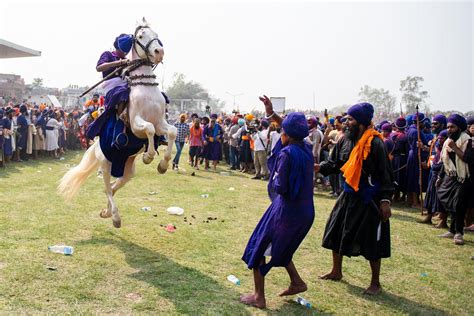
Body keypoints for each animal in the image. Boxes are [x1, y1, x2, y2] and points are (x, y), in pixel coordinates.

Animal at [58, 17, 177, 227]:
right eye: (140, 36)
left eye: (156, 34)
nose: (159, 52)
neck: (146, 87)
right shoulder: (136, 124)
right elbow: (149, 129)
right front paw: (148, 156)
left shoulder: (160, 121)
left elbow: (171, 131)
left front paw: (162, 165)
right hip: (105, 164)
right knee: (107, 187)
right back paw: (114, 216)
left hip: (128, 171)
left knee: (113, 187)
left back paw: (106, 212)